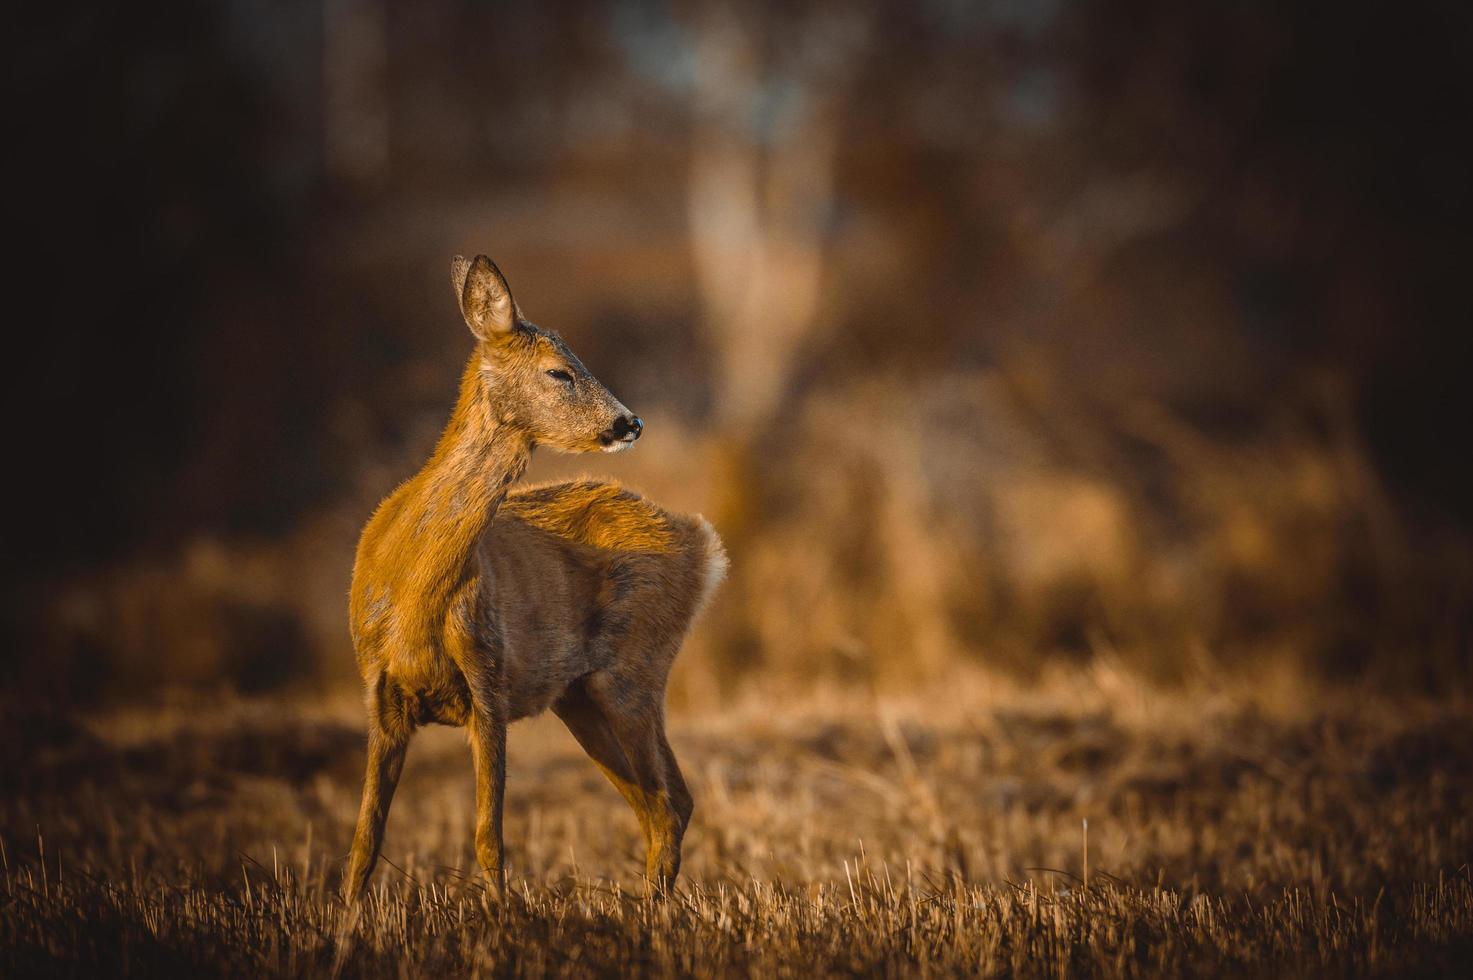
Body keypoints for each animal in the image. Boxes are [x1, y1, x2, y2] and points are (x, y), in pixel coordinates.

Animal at [340, 253, 730, 901]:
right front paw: (345, 916)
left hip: (633, 672)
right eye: (559, 371)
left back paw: (652, 909)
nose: (631, 422)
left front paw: (501, 917)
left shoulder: (488, 680)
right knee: (663, 801)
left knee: (668, 804)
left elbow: (487, 838)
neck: (413, 587)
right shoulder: (381, 693)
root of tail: (702, 545)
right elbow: (365, 839)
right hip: (580, 699)